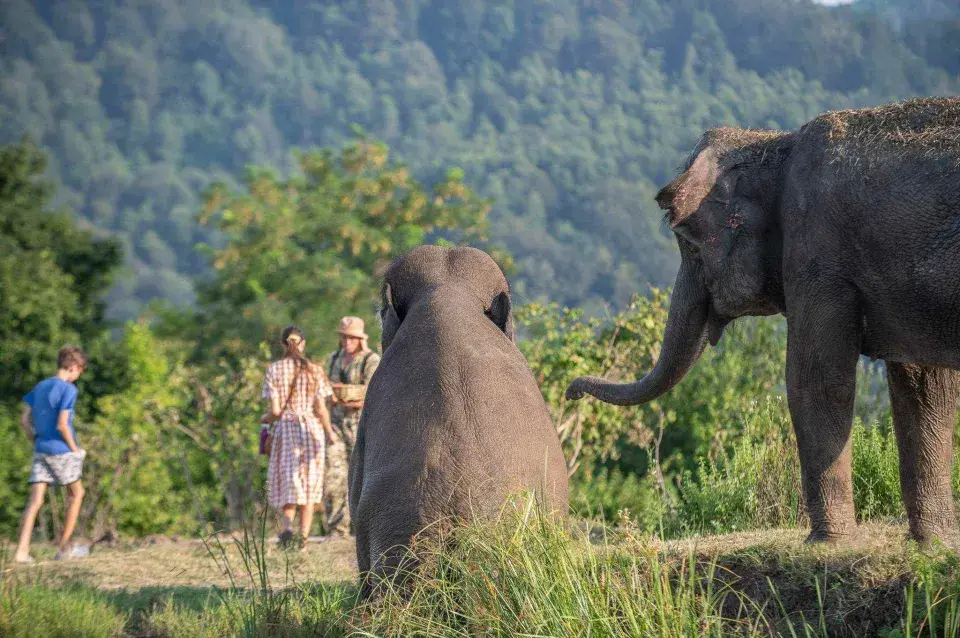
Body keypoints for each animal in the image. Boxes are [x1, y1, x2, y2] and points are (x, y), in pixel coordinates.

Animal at [568, 97, 960, 548]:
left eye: (689, 245)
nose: (571, 391)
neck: (775, 144)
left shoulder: (816, 252)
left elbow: (817, 379)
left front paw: (826, 543)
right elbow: (925, 384)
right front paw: (933, 544)